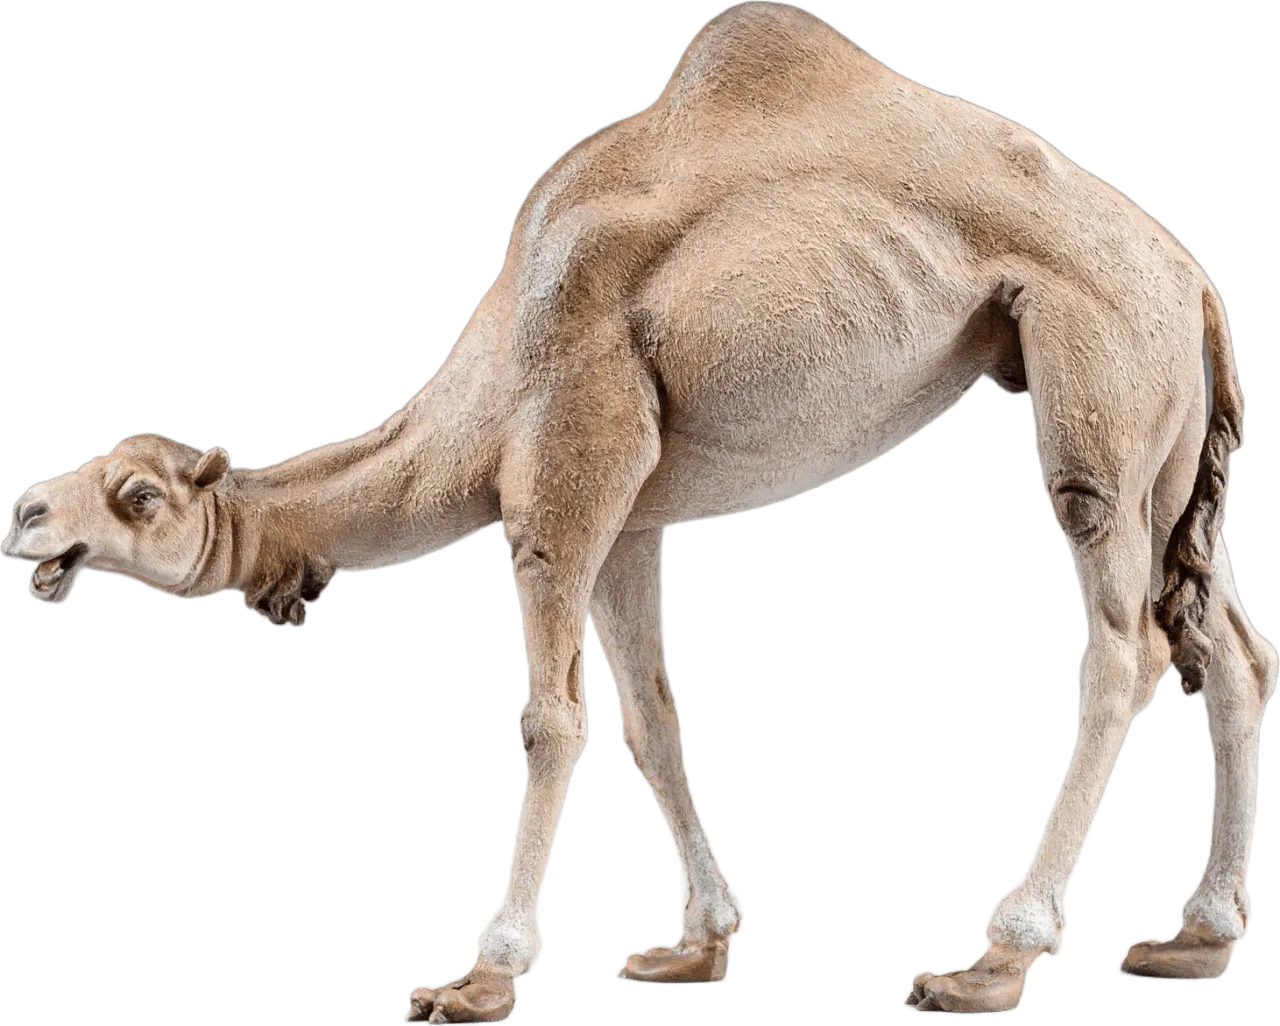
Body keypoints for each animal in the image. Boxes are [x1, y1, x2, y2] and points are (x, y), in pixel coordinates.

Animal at [3, 1, 1276, 1019]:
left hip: (1092, 364)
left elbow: (549, 721)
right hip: (1167, 440)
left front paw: (484, 975)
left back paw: (992, 960)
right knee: (1226, 646)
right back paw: (1192, 938)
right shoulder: (633, 518)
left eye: (135, 496)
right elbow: (654, 722)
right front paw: (693, 945)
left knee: (1120, 644)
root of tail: (1197, 282)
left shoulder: (566, 467)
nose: (23, 512)